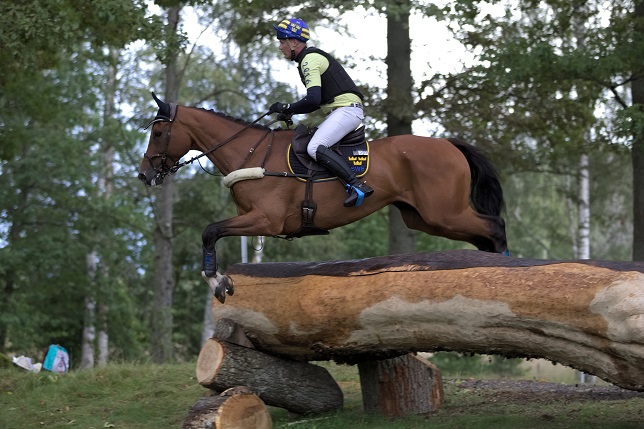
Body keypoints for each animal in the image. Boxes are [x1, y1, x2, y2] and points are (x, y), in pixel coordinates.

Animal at [140, 92, 508, 302]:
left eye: (158, 132)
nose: (144, 175)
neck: (251, 152)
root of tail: (449, 144)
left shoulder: (266, 220)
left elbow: (210, 231)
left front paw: (218, 282)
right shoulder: (253, 220)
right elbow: (212, 232)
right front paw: (219, 281)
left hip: (444, 213)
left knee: (494, 225)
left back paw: (505, 267)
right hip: (425, 218)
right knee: (482, 235)